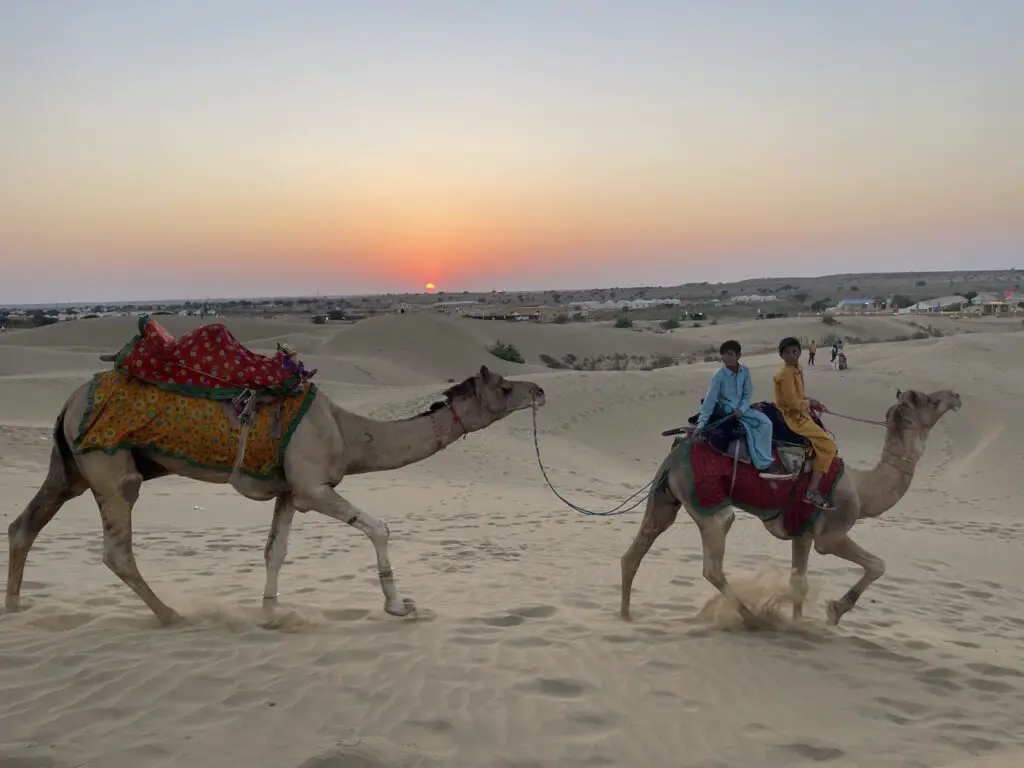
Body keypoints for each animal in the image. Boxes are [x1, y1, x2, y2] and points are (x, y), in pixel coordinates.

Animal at [6, 362, 544, 626]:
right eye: (504, 386)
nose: (539, 391)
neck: (350, 434)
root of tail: (68, 403)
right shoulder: (312, 487)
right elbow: (379, 527)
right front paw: (399, 606)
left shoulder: (288, 491)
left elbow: (275, 551)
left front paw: (270, 613)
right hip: (111, 468)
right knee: (117, 549)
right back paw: (171, 614)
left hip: (70, 468)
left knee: (23, 525)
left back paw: (13, 608)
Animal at [618, 387, 962, 626]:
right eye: (929, 400)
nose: (956, 396)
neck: (863, 489)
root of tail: (676, 452)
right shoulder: (830, 534)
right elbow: (877, 565)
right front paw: (835, 610)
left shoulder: (803, 533)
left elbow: (800, 582)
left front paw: (798, 624)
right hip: (708, 502)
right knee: (713, 562)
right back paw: (753, 619)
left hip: (665, 498)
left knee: (635, 550)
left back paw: (625, 615)